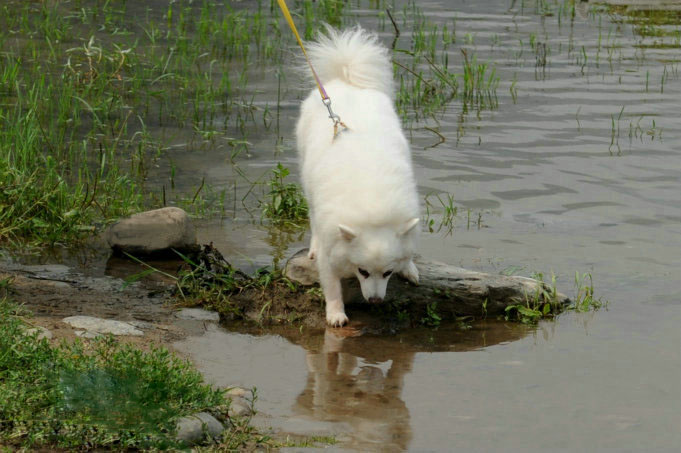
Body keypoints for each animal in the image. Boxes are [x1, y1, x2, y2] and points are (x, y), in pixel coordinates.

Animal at [296, 27, 420, 324]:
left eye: (387, 273)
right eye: (362, 271)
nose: (375, 301)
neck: (374, 208)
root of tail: (344, 80)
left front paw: (409, 267)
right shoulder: (331, 249)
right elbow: (331, 286)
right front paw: (336, 314)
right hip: (308, 181)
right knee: (312, 217)